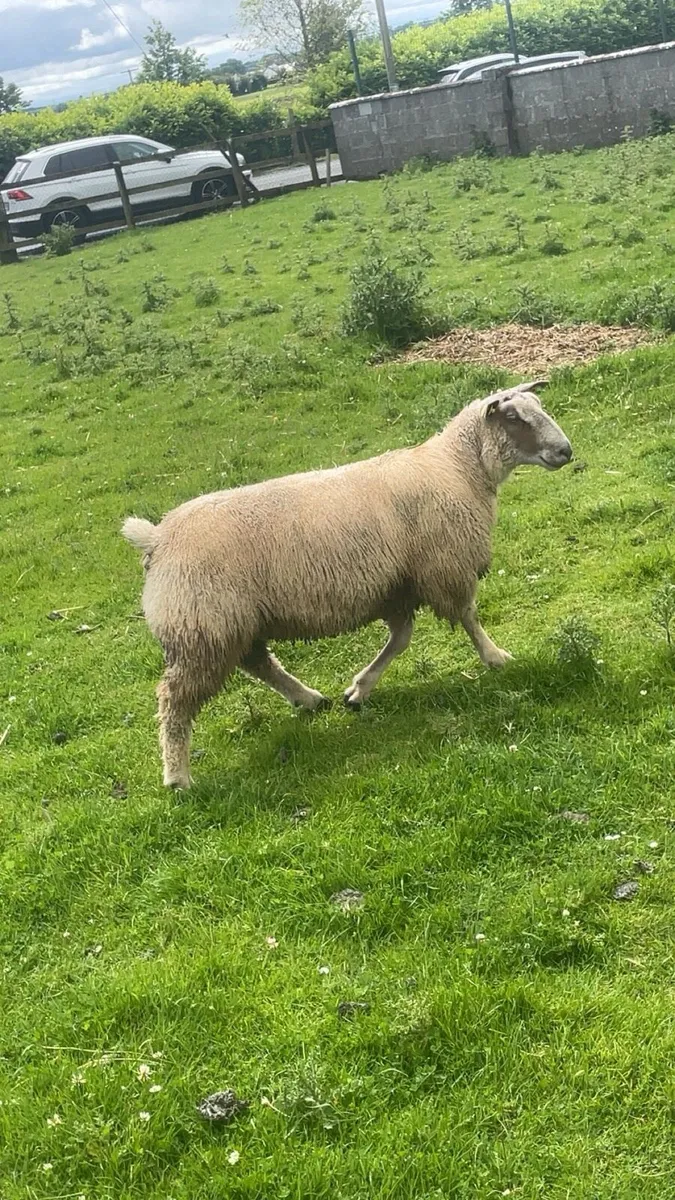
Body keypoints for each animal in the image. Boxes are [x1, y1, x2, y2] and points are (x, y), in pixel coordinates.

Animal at [123, 381, 572, 789]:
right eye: (514, 418)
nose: (566, 451)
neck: (459, 468)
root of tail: (157, 538)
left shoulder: (398, 584)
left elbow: (400, 640)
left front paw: (359, 690)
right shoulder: (445, 566)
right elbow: (468, 617)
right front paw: (495, 657)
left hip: (230, 622)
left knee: (258, 663)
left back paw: (307, 699)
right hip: (201, 627)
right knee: (175, 700)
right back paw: (178, 776)